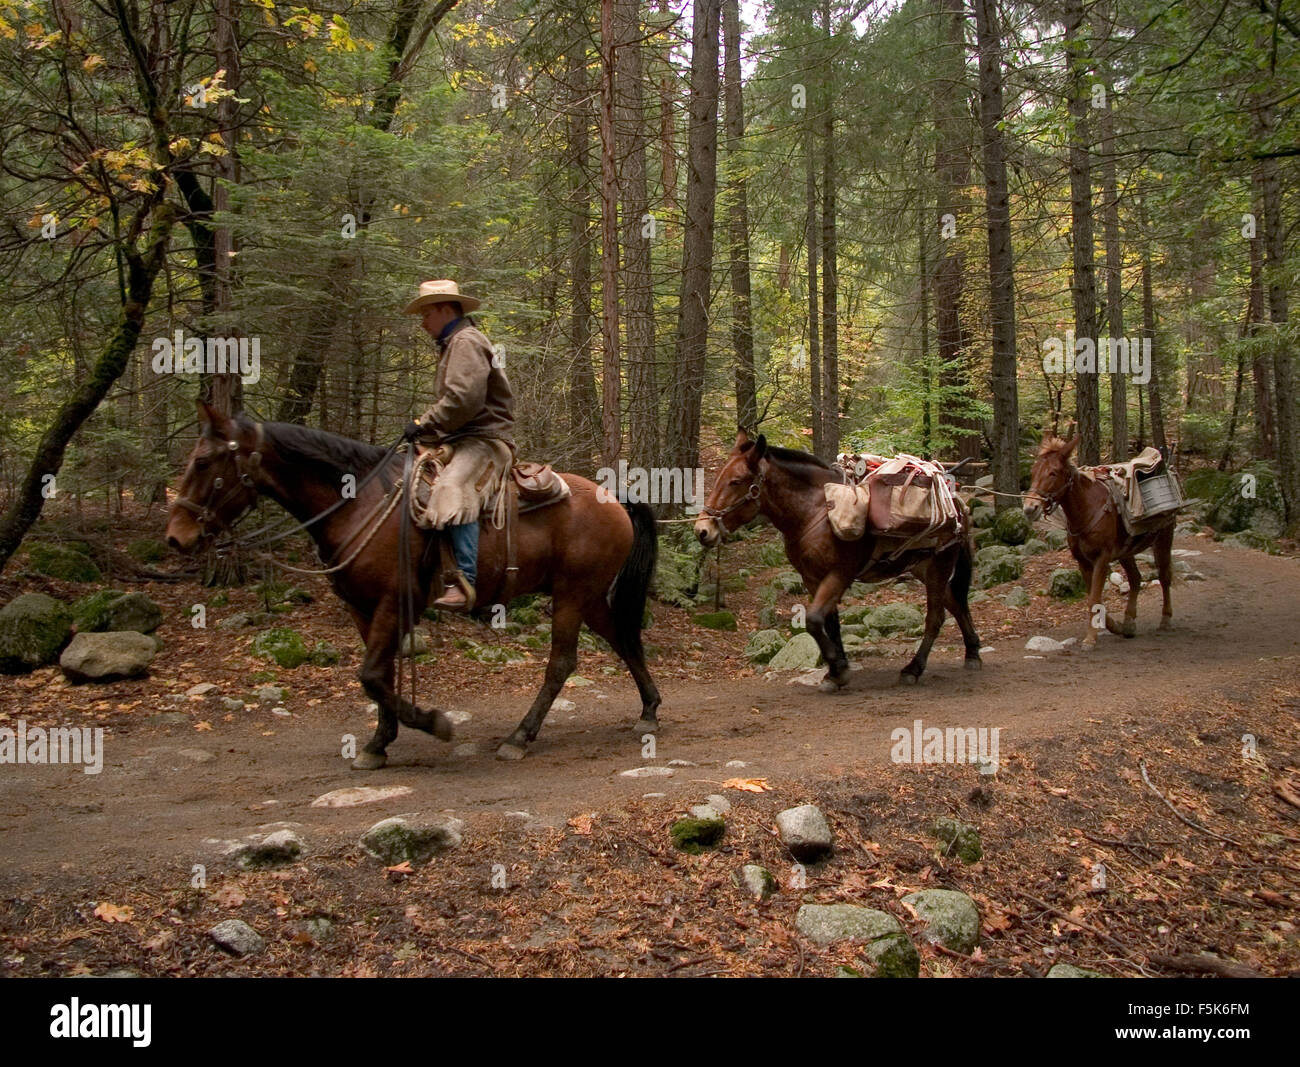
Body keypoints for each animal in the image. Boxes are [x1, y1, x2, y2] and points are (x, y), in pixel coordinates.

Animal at [165, 402, 660, 764]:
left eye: (204, 461)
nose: (176, 536)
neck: (357, 504)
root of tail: (614, 498)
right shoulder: (362, 609)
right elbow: (379, 675)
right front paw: (378, 744)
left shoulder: (394, 602)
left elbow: (370, 675)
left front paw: (431, 723)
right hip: (588, 597)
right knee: (623, 640)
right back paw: (649, 710)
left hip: (572, 596)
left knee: (561, 664)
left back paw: (519, 737)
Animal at [696, 431, 977, 686]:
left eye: (736, 481)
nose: (702, 530)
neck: (816, 511)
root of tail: (958, 504)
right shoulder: (811, 578)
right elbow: (830, 622)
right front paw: (835, 670)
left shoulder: (839, 574)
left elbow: (813, 620)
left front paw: (837, 667)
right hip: (923, 568)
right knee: (956, 604)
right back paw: (973, 652)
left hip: (940, 566)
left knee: (935, 618)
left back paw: (914, 669)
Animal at [1024, 434, 1180, 649]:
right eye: (1032, 472)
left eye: (1053, 473)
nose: (1030, 508)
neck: (1086, 510)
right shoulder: (1083, 562)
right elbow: (1095, 599)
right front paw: (1115, 627)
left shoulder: (1102, 558)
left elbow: (1093, 599)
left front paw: (1090, 639)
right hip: (1126, 552)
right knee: (1135, 579)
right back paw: (1128, 623)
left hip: (1164, 539)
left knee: (1165, 577)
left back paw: (1165, 619)